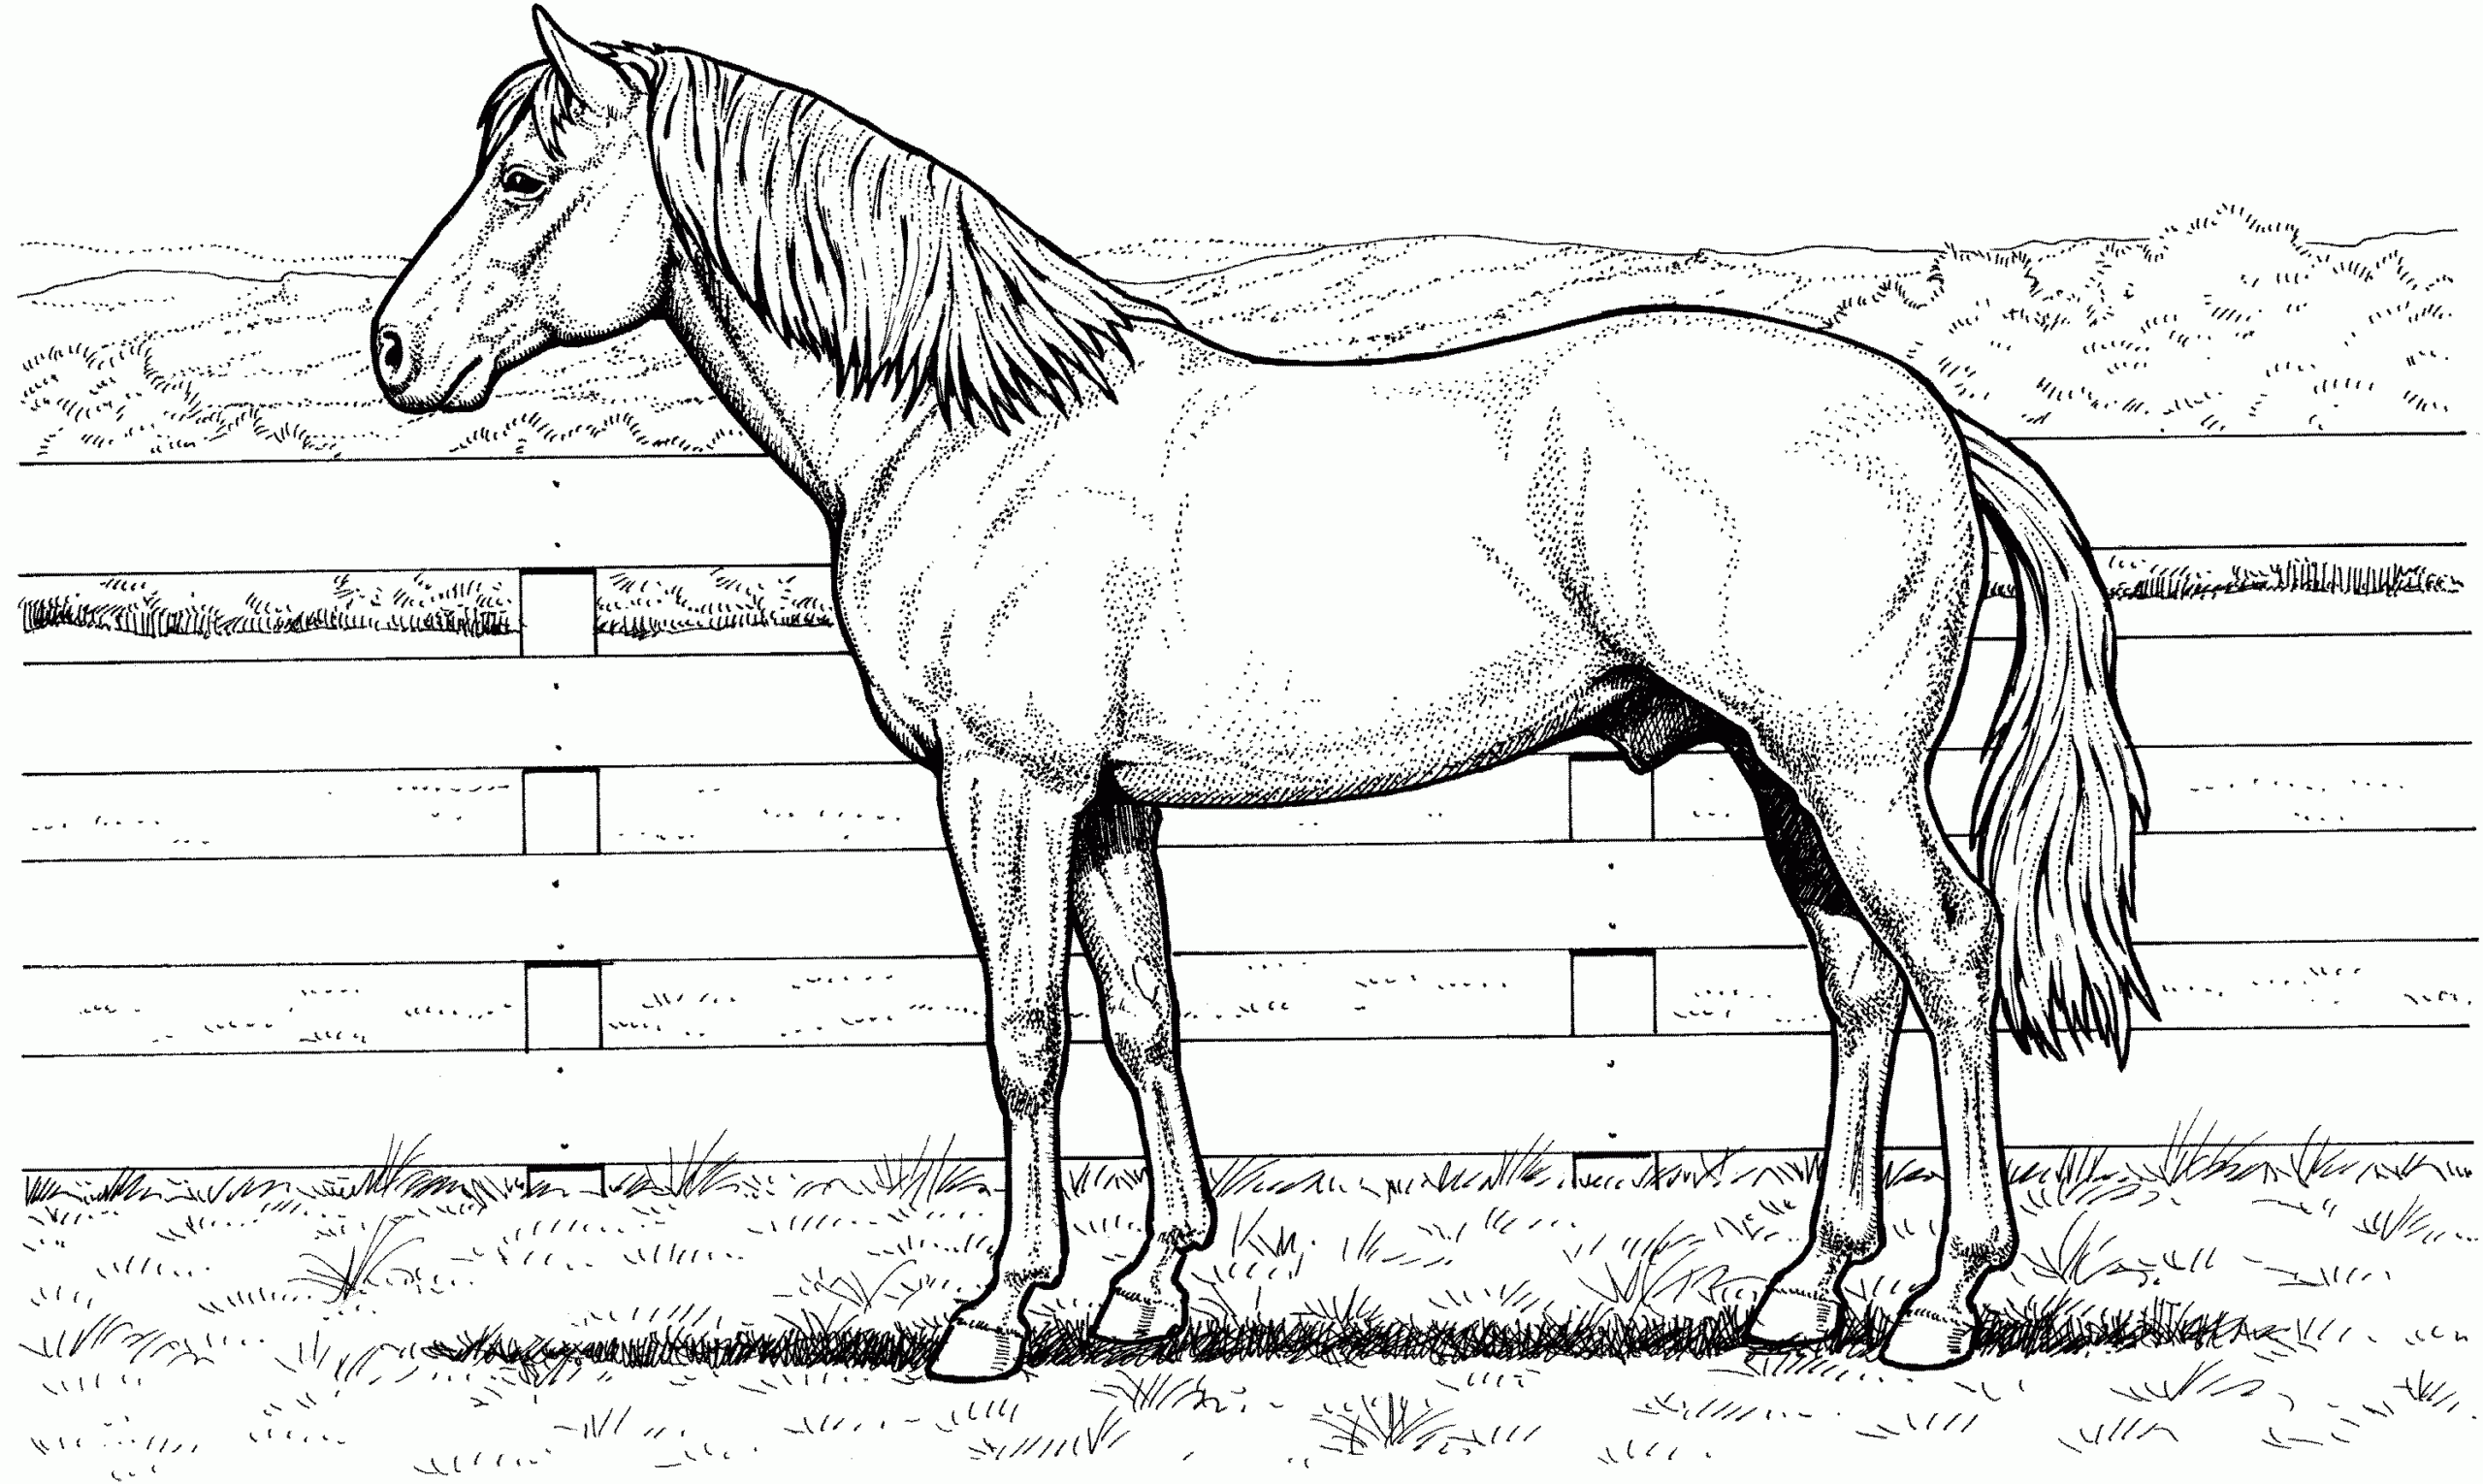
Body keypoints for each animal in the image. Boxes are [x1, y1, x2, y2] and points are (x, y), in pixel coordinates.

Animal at [375, 9, 2151, 1382]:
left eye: (525, 177)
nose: (395, 352)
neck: (976, 432)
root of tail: (1928, 414)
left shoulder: (1006, 786)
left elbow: (1024, 1035)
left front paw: (997, 1310)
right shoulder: (1106, 808)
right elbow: (1142, 1018)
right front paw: (1149, 1286)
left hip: (1850, 774)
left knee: (1951, 952)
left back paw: (1942, 1298)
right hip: (1784, 774)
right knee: (1861, 986)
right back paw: (1802, 1287)